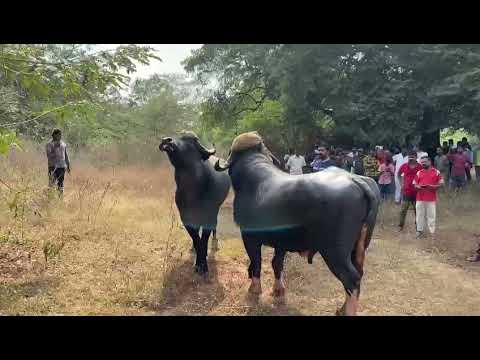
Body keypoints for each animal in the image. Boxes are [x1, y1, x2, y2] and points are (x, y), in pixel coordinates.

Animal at [159, 132, 231, 276]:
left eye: (191, 141)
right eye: (179, 136)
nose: (167, 141)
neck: (192, 191)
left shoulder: (210, 215)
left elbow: (203, 239)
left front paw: (204, 266)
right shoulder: (185, 216)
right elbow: (197, 238)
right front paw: (198, 263)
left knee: (214, 228)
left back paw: (215, 243)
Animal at [216, 132, 380, 316]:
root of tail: (355, 179)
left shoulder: (248, 236)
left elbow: (256, 262)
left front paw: (254, 289)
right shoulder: (280, 241)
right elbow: (277, 264)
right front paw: (278, 290)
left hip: (335, 252)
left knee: (351, 279)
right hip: (358, 249)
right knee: (358, 274)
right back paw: (341, 308)